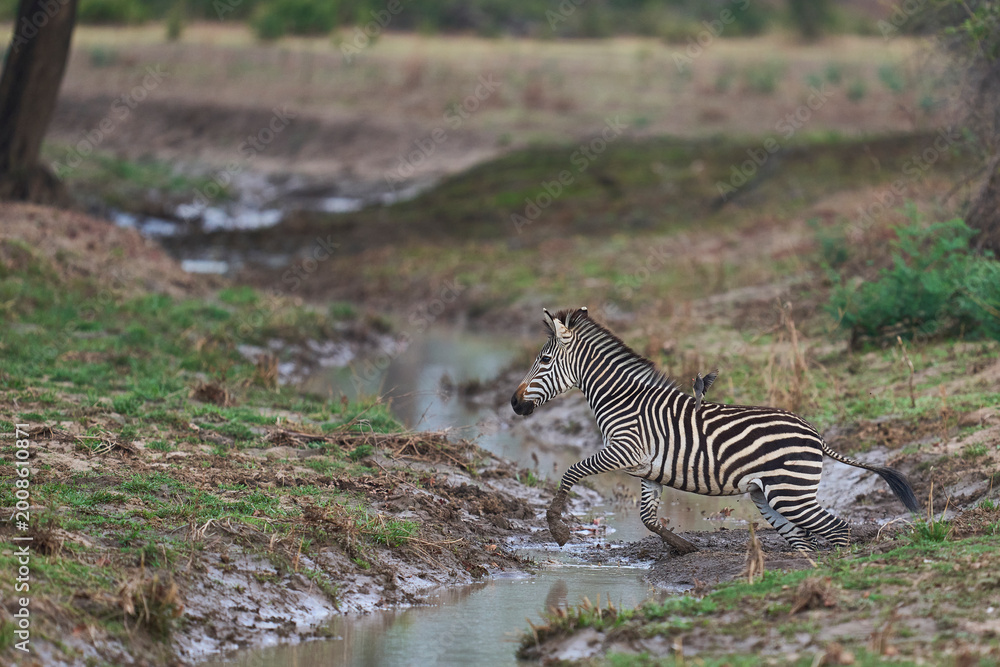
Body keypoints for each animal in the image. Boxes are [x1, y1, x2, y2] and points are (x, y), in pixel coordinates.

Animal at [510, 307, 920, 553]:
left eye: (544, 359)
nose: (514, 403)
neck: (622, 399)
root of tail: (816, 434)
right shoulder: (647, 469)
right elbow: (647, 517)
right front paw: (684, 547)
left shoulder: (625, 450)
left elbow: (571, 471)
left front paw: (557, 529)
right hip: (767, 495)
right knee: (802, 536)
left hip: (790, 492)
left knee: (837, 529)